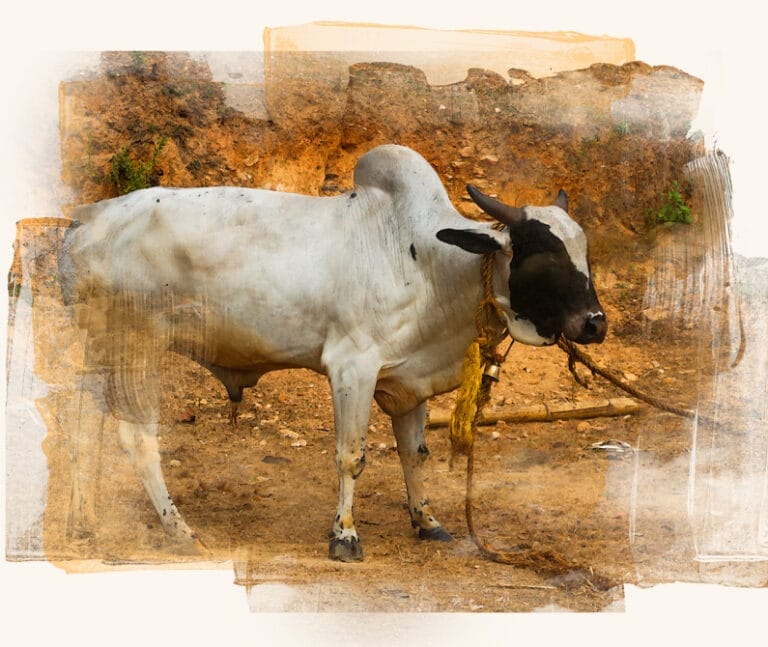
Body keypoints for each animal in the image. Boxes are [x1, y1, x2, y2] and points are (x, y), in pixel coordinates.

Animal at [59, 144, 606, 562]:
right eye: (541, 254)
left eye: (584, 253)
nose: (595, 323)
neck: (426, 260)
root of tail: (85, 223)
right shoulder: (352, 368)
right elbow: (351, 456)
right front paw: (344, 535)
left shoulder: (408, 382)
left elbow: (415, 455)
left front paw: (427, 521)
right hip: (137, 346)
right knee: (136, 438)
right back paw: (179, 531)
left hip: (101, 348)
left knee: (86, 426)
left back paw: (85, 519)